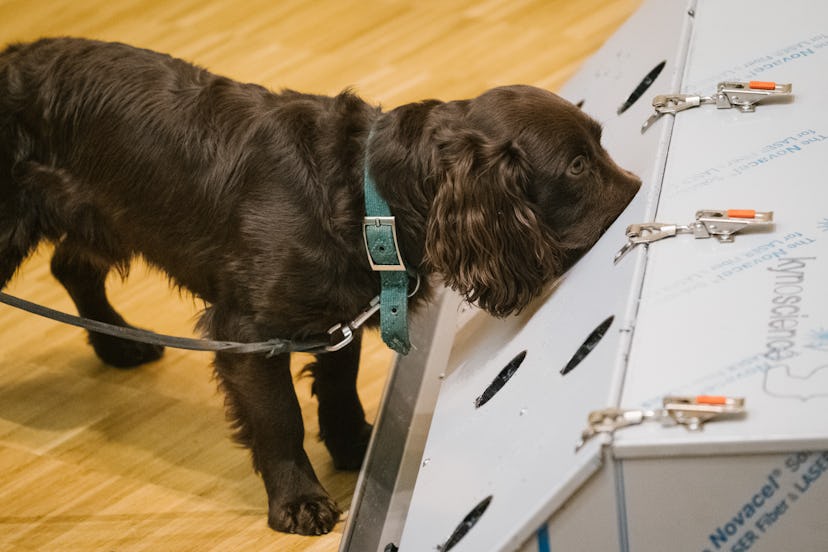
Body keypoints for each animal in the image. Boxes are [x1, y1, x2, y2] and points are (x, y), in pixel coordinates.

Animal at [0, 37, 640, 536]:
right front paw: (299, 501)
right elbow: (280, 419)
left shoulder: (336, 313)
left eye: (600, 143)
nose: (641, 190)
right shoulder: (249, 333)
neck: (366, 197)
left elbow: (338, 384)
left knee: (72, 268)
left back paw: (118, 345)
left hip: (100, 215)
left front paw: (355, 446)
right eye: (576, 166)